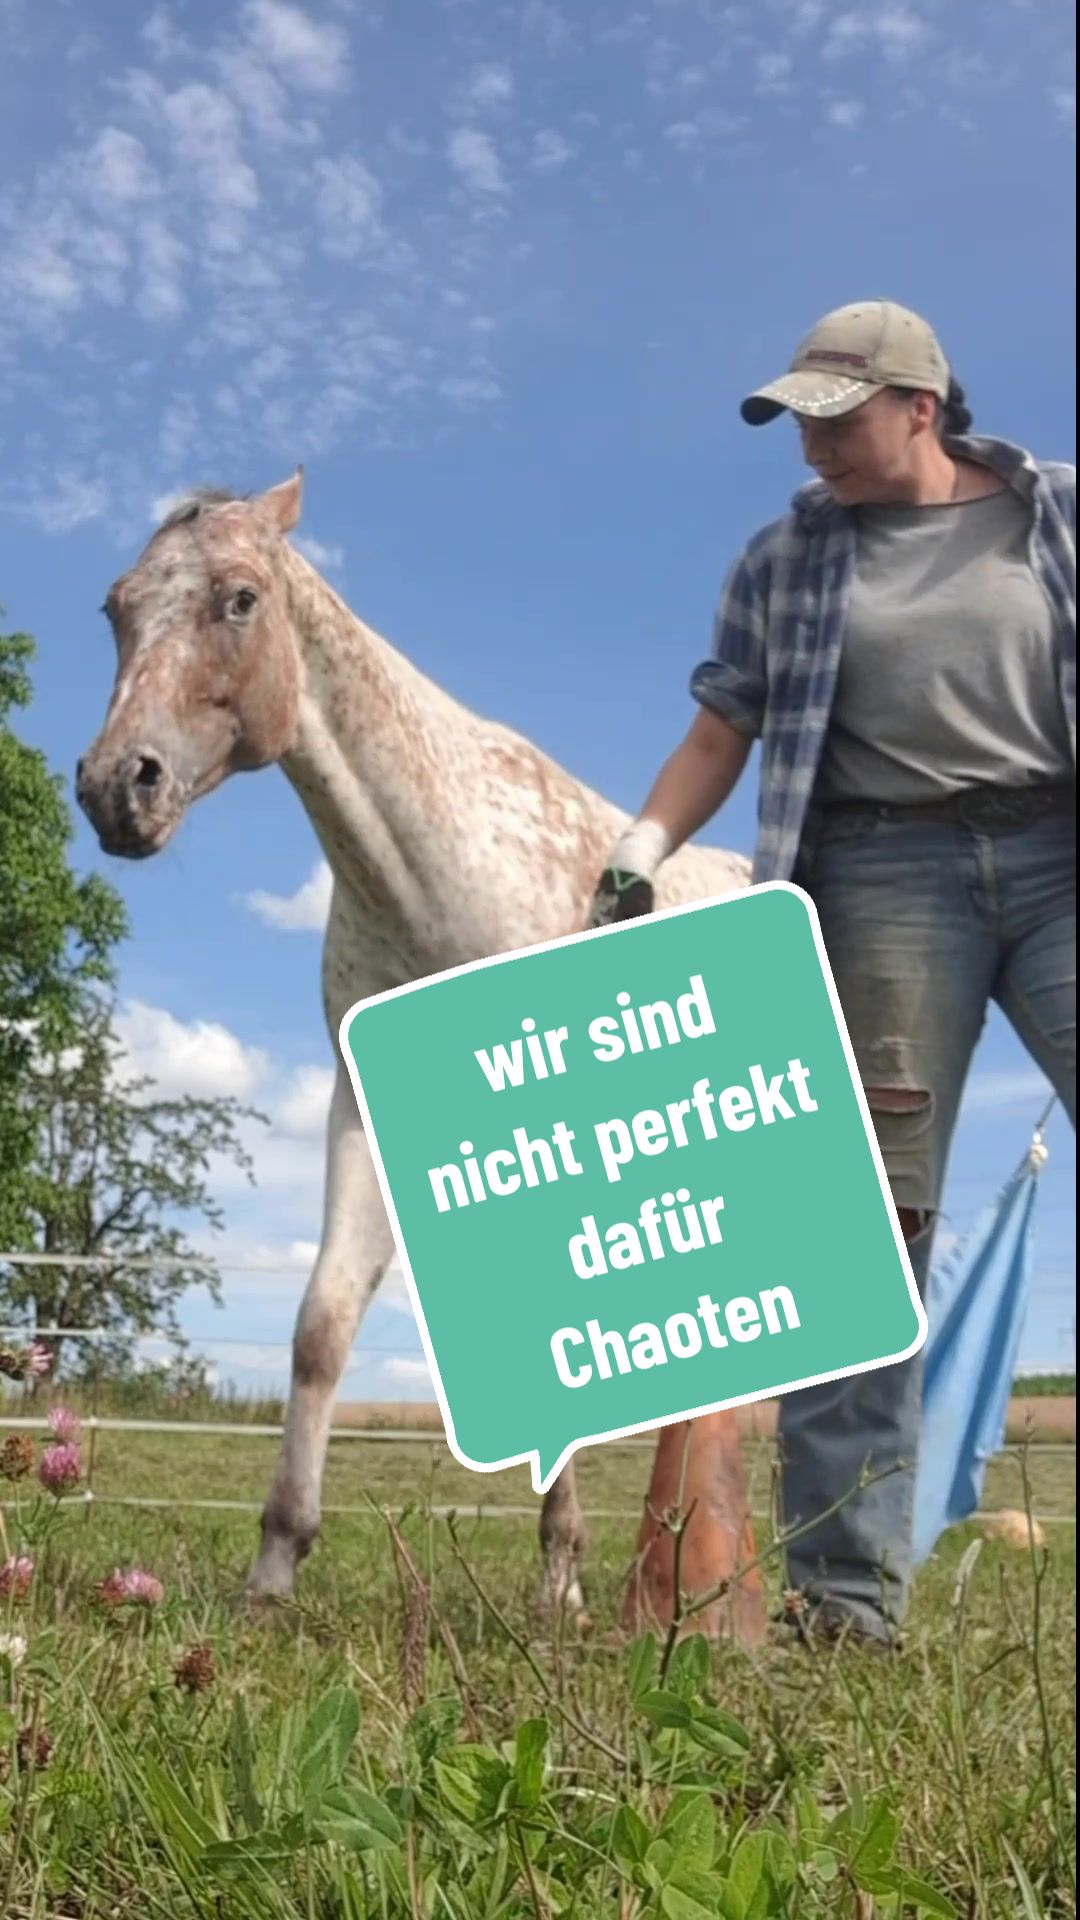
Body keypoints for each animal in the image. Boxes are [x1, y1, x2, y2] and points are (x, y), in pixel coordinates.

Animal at [75, 468, 760, 1628]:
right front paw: (275, 1565)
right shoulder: (361, 1112)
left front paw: (564, 1575)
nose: (118, 786)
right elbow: (322, 1325)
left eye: (240, 598)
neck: (436, 861)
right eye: (115, 608)